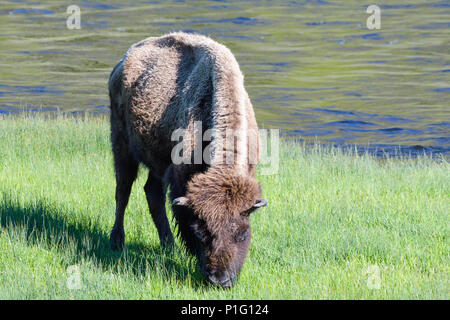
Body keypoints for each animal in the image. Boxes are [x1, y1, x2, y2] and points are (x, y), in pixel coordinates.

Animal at [107, 31, 266, 288]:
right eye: (202, 233)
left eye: (242, 233)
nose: (219, 280)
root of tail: (123, 62)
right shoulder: (180, 176)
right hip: (122, 147)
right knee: (123, 191)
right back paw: (117, 241)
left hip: (157, 162)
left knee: (152, 192)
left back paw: (168, 245)